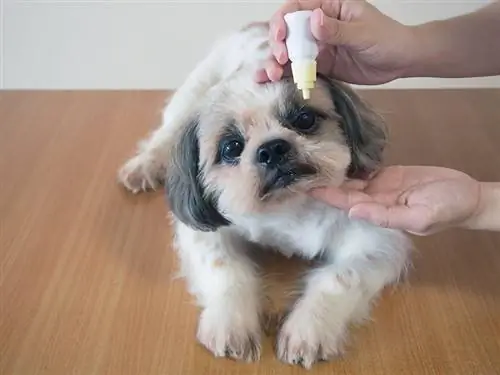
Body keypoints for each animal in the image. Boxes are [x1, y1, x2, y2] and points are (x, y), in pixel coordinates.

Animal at [119, 22, 412, 368]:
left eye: (304, 119)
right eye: (231, 147)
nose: (272, 148)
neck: (289, 209)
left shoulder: (376, 239)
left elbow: (340, 278)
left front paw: (308, 329)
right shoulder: (208, 231)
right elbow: (226, 269)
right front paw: (231, 323)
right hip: (190, 95)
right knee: (165, 133)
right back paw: (144, 166)